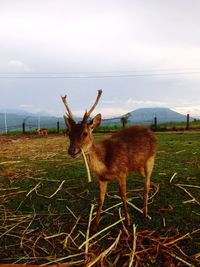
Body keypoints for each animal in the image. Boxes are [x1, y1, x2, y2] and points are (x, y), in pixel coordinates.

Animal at [60, 91, 157, 229]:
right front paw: (94, 225)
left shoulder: (122, 172)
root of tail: (150, 131)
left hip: (151, 158)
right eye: (68, 133)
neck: (105, 164)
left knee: (146, 183)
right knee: (146, 179)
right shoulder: (101, 178)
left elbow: (123, 196)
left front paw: (128, 222)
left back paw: (145, 212)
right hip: (139, 165)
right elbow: (100, 200)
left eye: (85, 133)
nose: (72, 150)